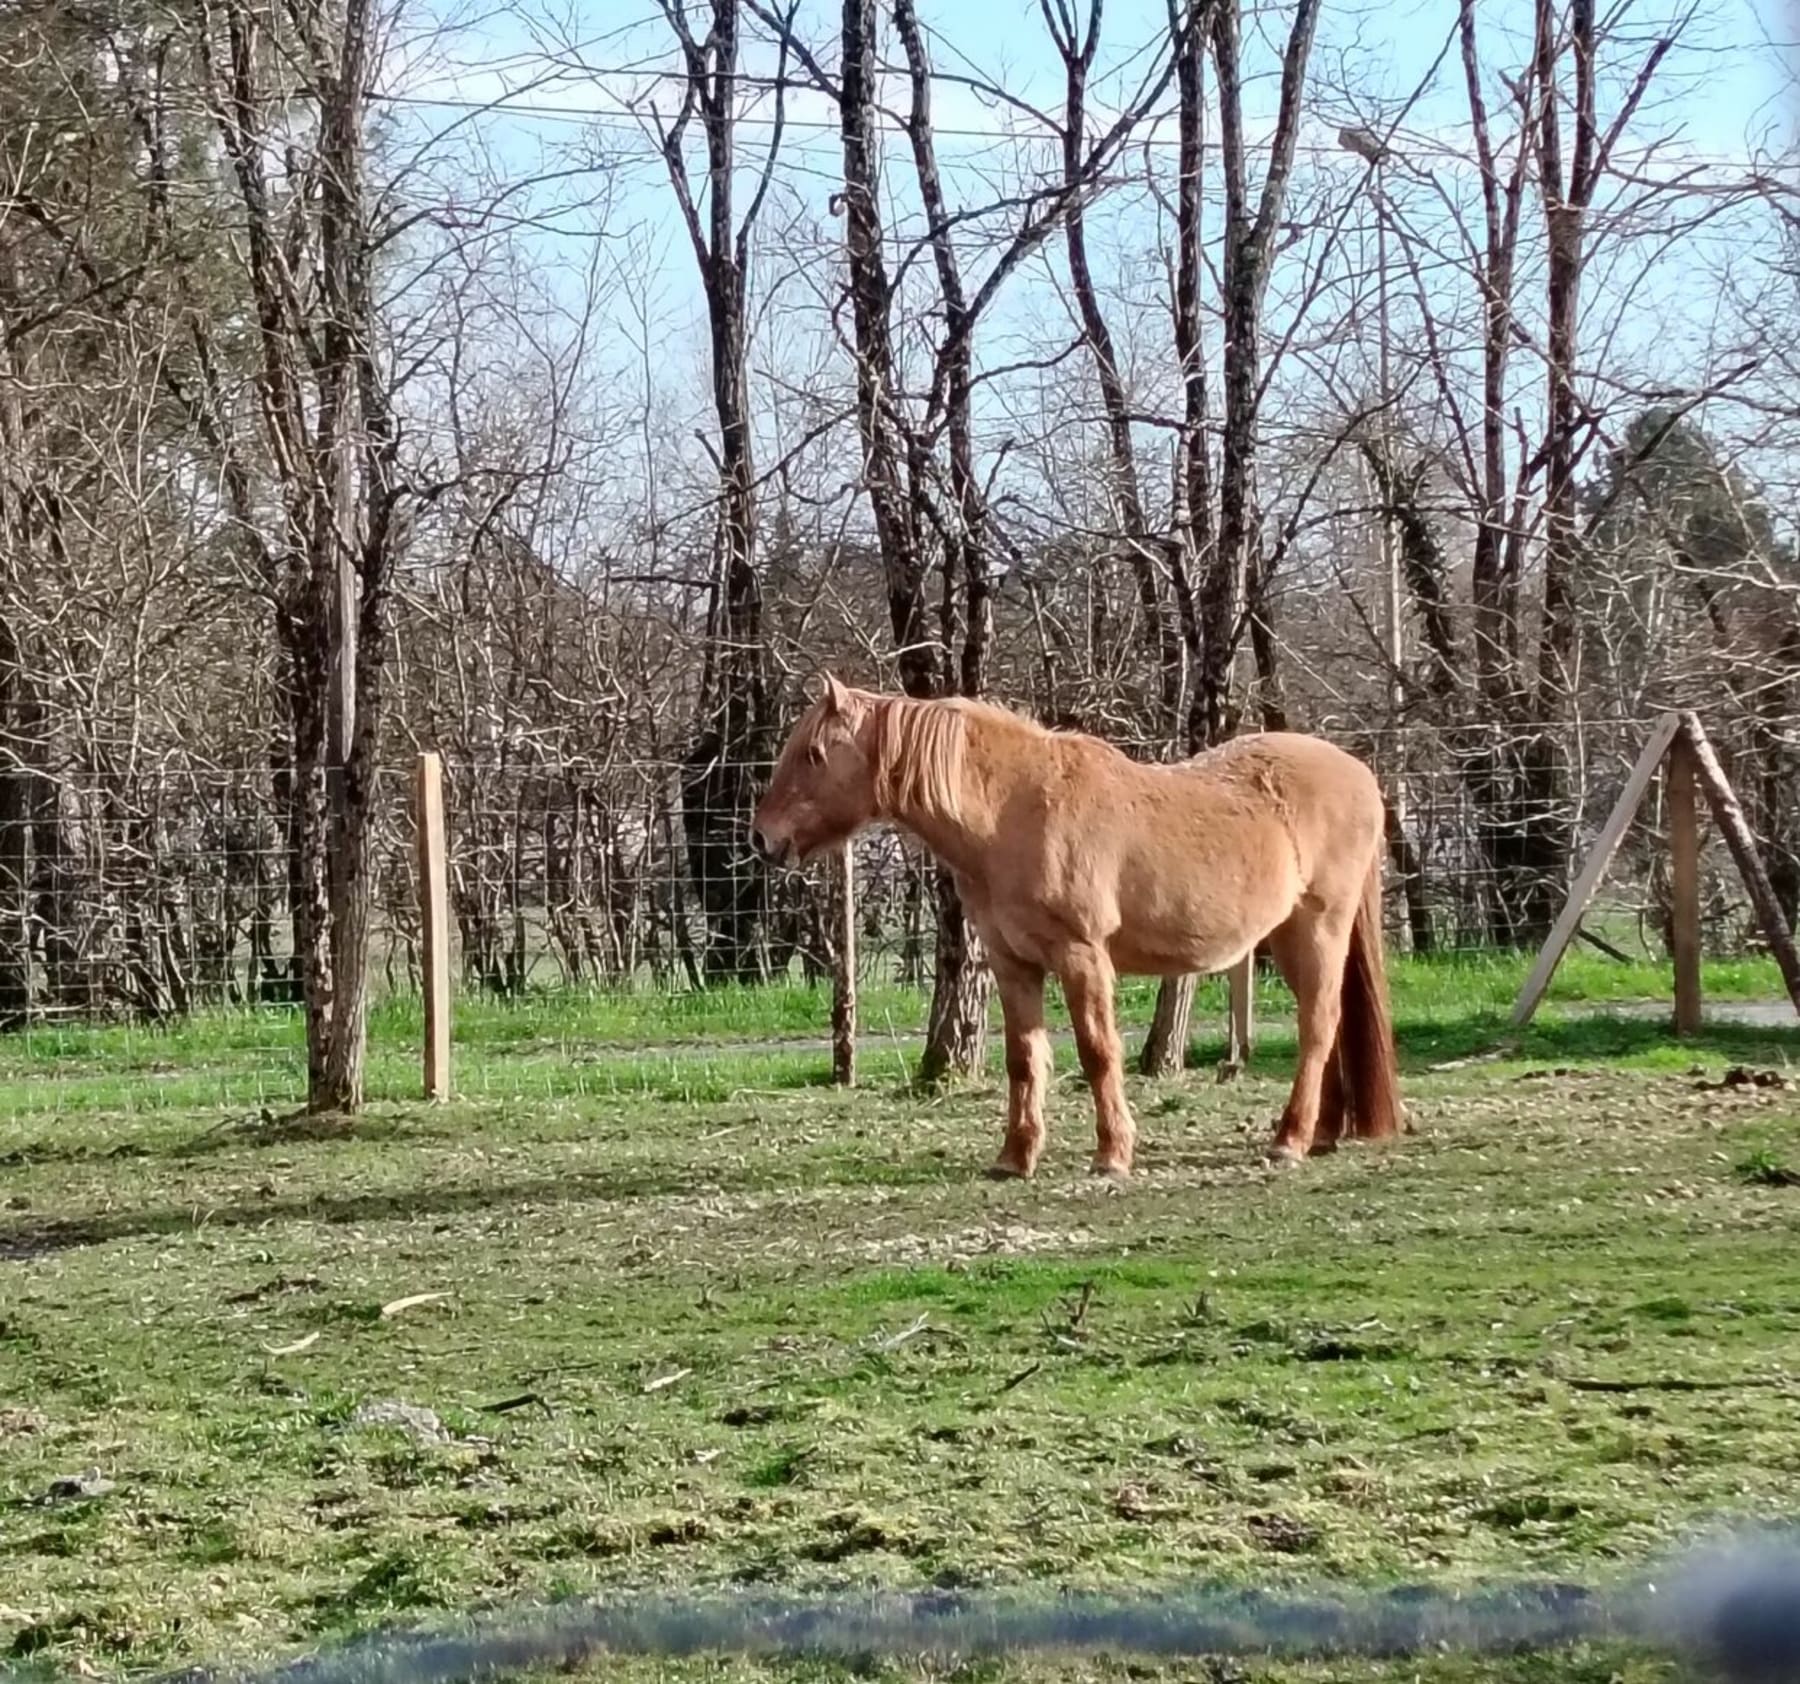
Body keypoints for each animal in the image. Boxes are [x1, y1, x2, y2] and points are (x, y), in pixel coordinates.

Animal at [752, 676, 1396, 1180]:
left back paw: (1289, 1140)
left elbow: (1097, 1052)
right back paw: (1321, 1134)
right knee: (1329, 1026)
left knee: (1318, 1027)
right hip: (1291, 938)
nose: (763, 838)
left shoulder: (1081, 956)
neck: (1013, 810)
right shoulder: (1013, 964)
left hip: (1317, 930)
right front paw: (1015, 1158)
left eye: (814, 753)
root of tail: (1361, 775)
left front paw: (1112, 1154)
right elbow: (1023, 1058)